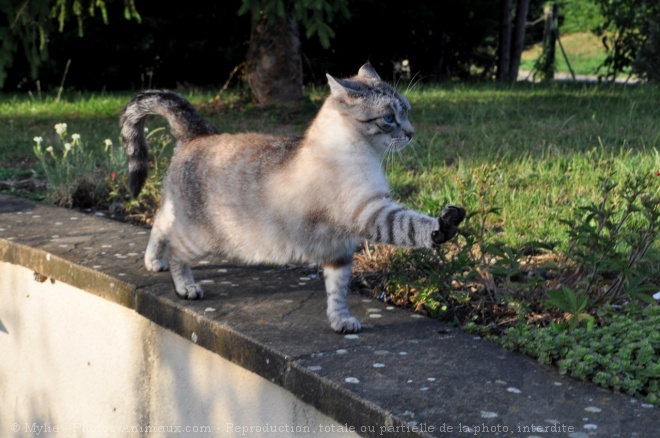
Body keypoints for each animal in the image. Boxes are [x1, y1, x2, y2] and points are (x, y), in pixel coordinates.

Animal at [121, 64, 466, 332]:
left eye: (406, 112)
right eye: (390, 118)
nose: (411, 133)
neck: (365, 156)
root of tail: (199, 132)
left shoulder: (339, 250)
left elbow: (337, 292)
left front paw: (340, 322)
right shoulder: (371, 213)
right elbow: (411, 226)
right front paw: (444, 225)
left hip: (179, 211)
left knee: (160, 220)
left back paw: (153, 261)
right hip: (202, 236)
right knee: (176, 247)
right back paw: (185, 286)